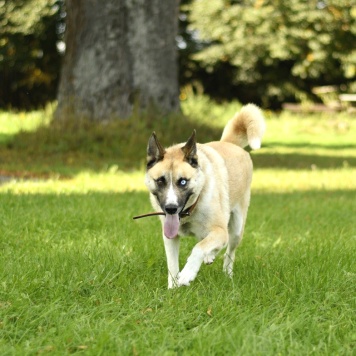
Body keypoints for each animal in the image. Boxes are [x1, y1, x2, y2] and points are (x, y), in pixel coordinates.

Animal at [144, 104, 264, 288]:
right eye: (160, 181)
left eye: (183, 182)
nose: (171, 208)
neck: (189, 212)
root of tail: (229, 143)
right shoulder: (170, 236)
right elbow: (172, 264)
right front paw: (172, 288)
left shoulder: (221, 231)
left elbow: (198, 248)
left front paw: (187, 275)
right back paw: (210, 256)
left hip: (236, 228)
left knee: (229, 252)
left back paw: (227, 274)